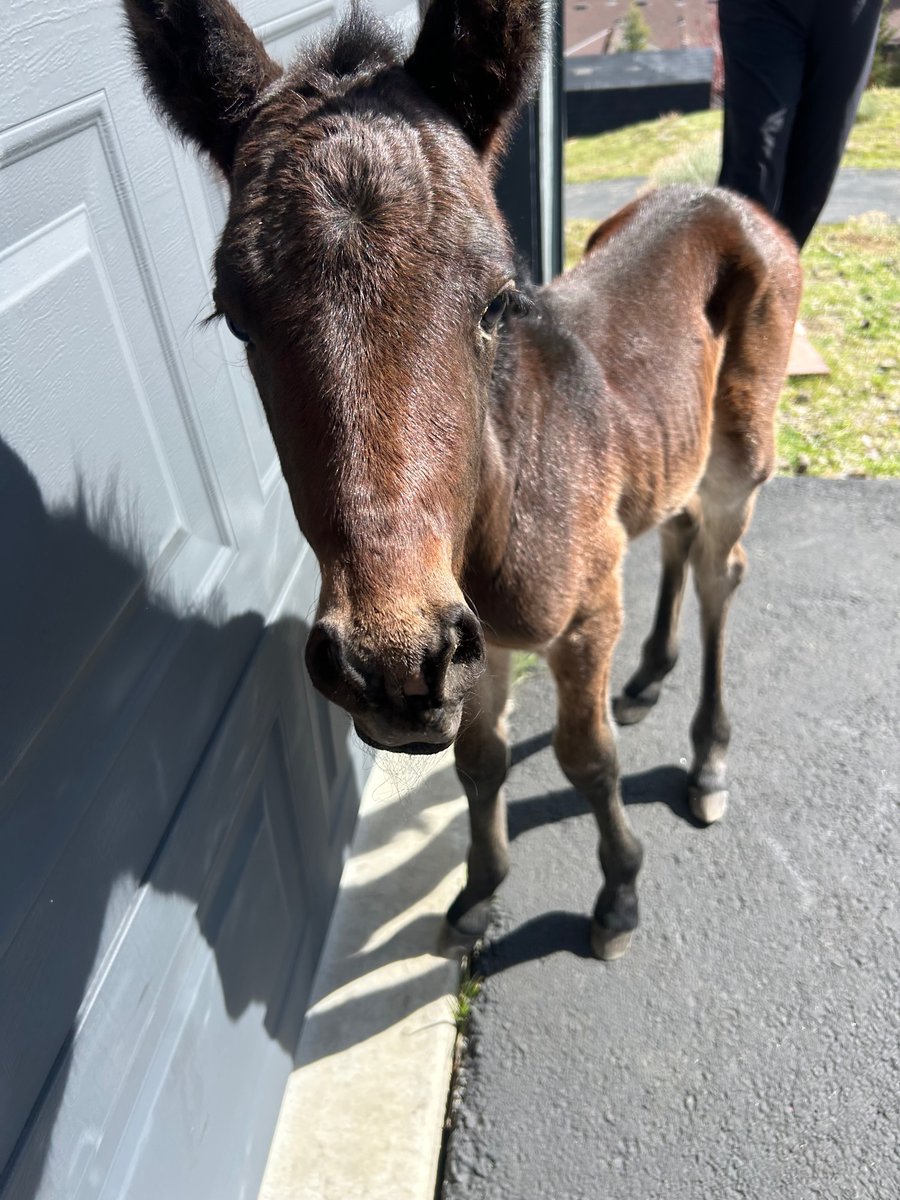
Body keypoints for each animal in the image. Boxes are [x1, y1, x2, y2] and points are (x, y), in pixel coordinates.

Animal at [124, 0, 801, 960]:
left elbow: (586, 758)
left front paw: (618, 894)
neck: (500, 510)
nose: (390, 667)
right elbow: (480, 763)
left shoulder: (584, 615)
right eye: (235, 317)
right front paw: (480, 891)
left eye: (495, 300)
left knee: (719, 570)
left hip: (742, 452)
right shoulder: (477, 650)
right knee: (675, 530)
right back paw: (646, 681)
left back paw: (707, 758)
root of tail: (726, 201)